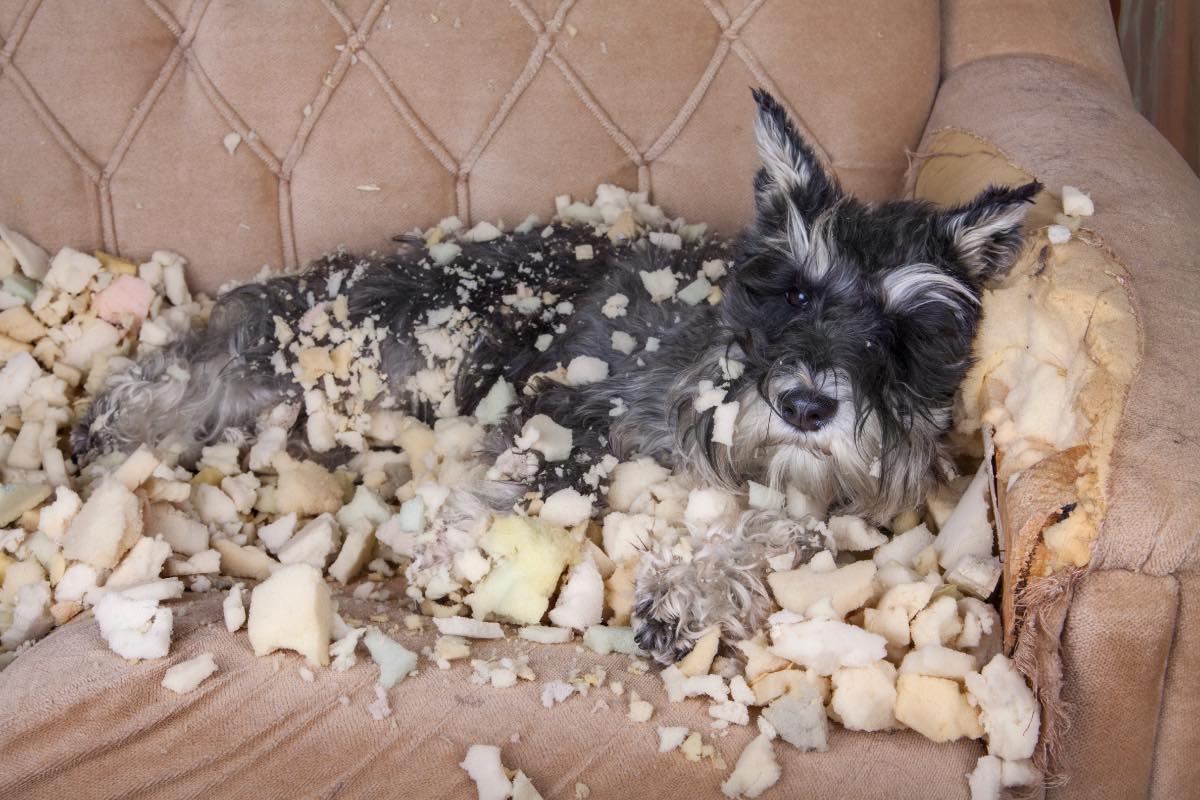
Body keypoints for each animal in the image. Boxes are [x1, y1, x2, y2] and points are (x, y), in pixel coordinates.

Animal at [72, 89, 1041, 662]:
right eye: (796, 290)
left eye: (904, 330)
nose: (805, 405)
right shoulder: (575, 404)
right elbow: (540, 477)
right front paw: (457, 545)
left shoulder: (833, 509)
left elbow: (783, 533)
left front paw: (687, 596)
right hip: (358, 345)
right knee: (209, 361)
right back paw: (113, 425)